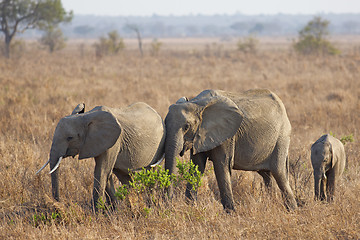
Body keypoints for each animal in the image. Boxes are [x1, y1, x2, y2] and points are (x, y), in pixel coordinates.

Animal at [36, 102, 166, 209]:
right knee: (124, 175)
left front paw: (96, 212)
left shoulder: (114, 141)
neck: (86, 116)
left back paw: (150, 204)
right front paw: (113, 210)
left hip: (158, 147)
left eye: (70, 138)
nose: (58, 203)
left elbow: (102, 171)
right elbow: (106, 173)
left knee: (151, 172)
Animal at [165, 89, 296, 211]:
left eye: (186, 127)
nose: (169, 204)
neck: (197, 104)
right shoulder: (199, 136)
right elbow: (197, 166)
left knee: (279, 172)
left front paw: (231, 212)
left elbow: (221, 165)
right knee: (266, 174)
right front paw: (190, 207)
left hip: (282, 137)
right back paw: (271, 204)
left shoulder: (227, 135)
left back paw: (292, 210)